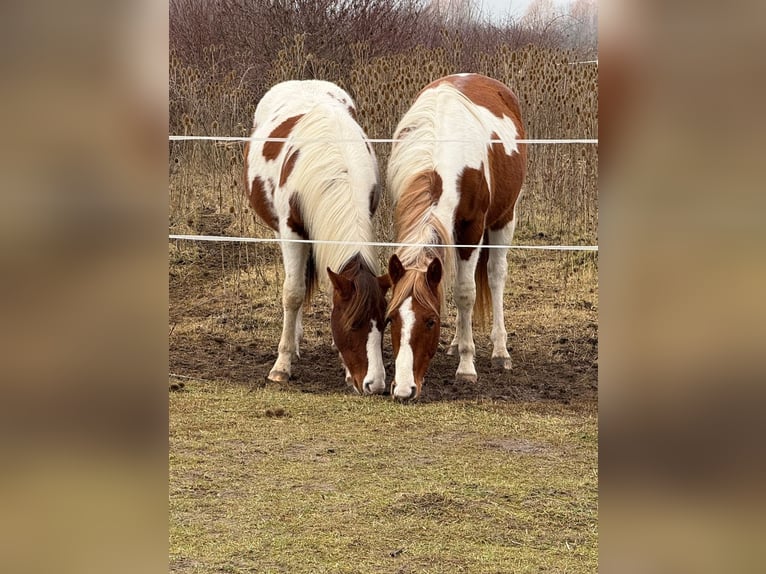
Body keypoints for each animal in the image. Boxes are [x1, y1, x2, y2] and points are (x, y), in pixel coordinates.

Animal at [244, 80, 390, 395]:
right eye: (353, 323)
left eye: (384, 323)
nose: (374, 384)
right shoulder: (292, 232)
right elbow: (293, 293)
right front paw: (281, 366)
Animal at [385, 73, 527, 400]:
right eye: (391, 318)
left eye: (430, 321)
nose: (403, 389)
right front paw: (460, 347)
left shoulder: (471, 228)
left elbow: (465, 292)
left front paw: (466, 367)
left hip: (504, 218)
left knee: (495, 275)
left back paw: (500, 351)